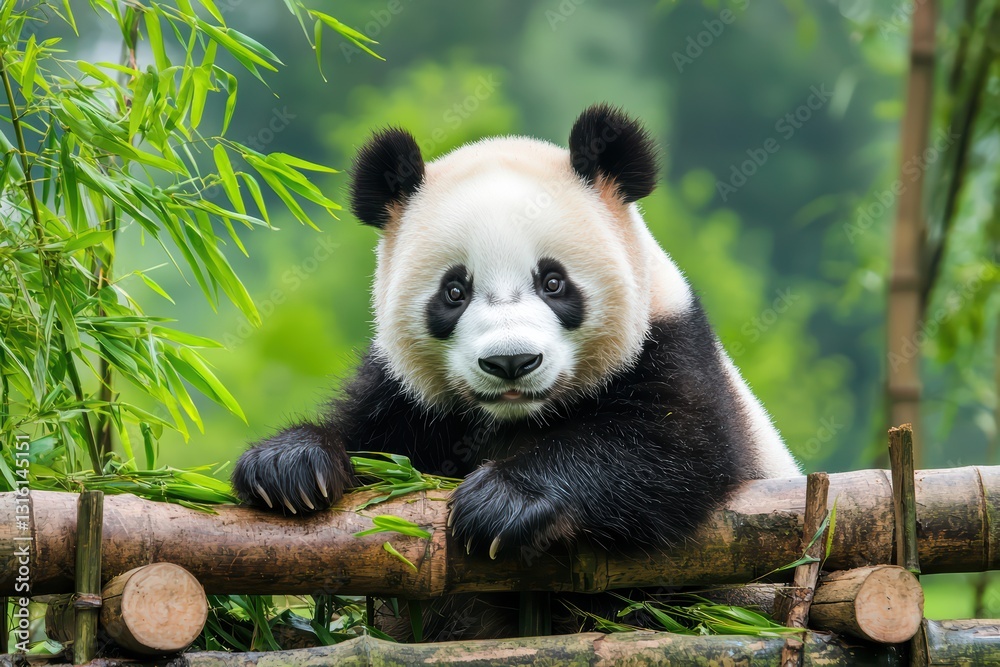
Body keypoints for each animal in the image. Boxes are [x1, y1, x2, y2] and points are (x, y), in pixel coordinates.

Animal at [232, 103, 800, 636]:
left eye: (553, 282)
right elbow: (368, 442)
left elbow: (672, 448)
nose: (511, 362)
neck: (518, 418)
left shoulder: (671, 346)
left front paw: (500, 503)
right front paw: (287, 469)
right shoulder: (406, 394)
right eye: (454, 291)